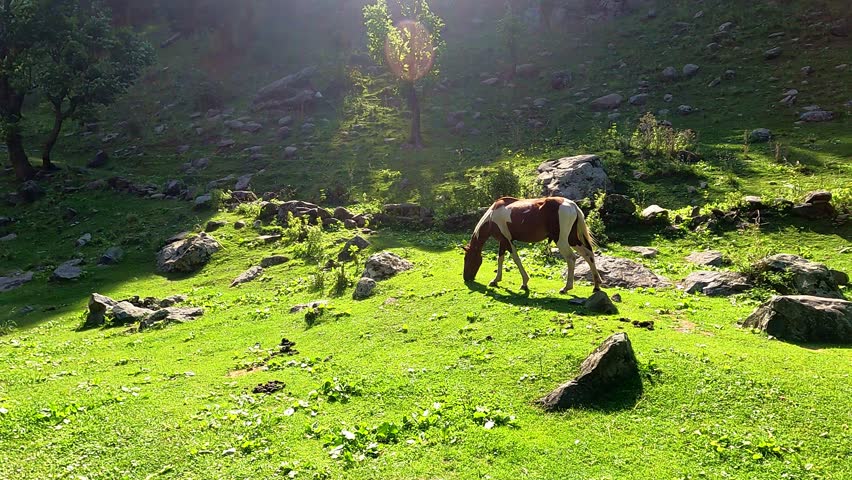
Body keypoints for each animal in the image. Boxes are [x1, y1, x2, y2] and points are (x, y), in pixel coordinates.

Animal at [462, 197, 603, 293]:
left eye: (467, 259)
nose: (466, 278)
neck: (492, 216)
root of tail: (573, 205)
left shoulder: (507, 241)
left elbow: (515, 259)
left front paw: (524, 282)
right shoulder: (503, 241)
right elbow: (500, 258)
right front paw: (496, 280)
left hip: (562, 241)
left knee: (571, 258)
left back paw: (566, 287)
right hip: (572, 239)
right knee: (588, 254)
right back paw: (596, 285)